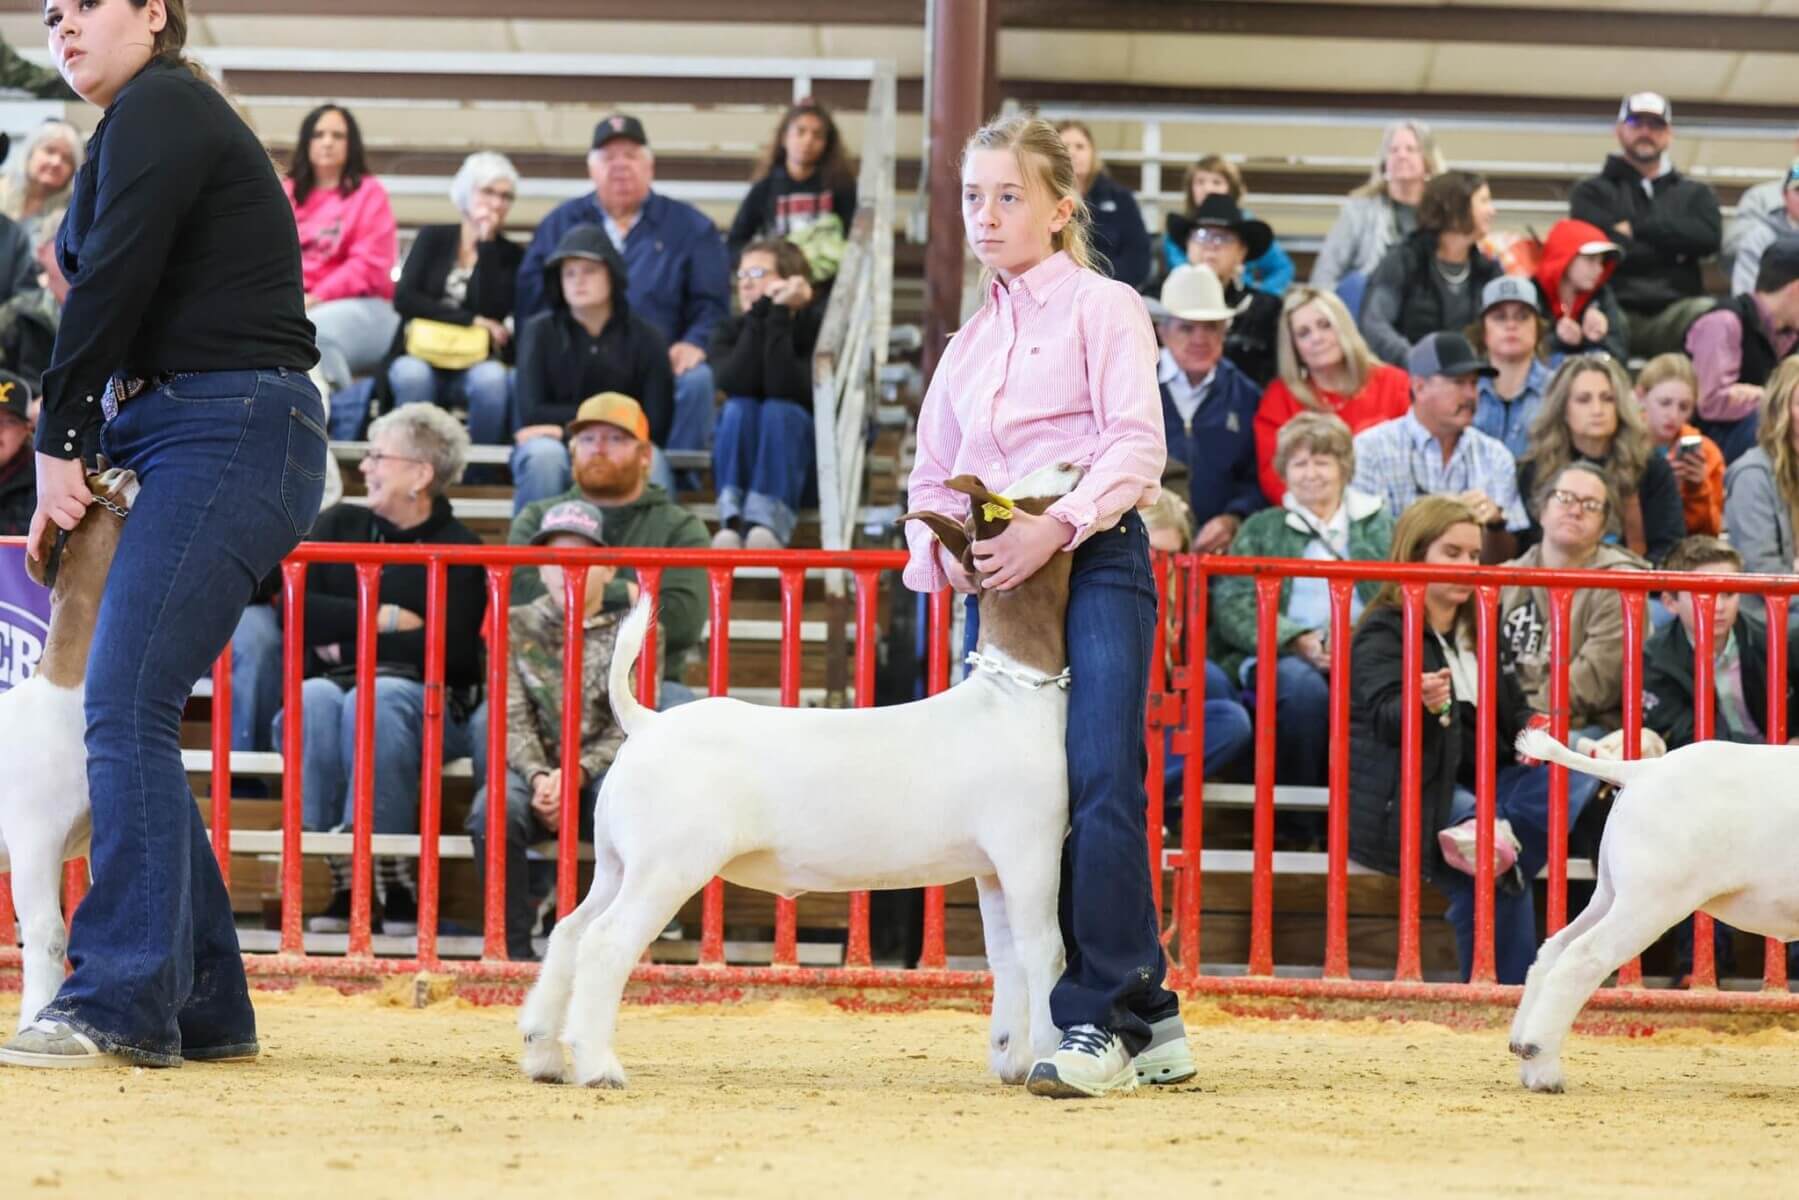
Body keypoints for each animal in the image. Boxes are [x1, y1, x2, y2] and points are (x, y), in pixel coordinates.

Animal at [517, 463, 1084, 1088]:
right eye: (1024, 497)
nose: (1070, 464)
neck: (1013, 697)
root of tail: (645, 722)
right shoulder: (1029, 847)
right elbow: (1045, 950)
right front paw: (1047, 1059)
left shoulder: (990, 867)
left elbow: (1006, 955)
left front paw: (1013, 1058)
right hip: (668, 864)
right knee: (605, 941)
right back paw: (598, 1065)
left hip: (620, 859)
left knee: (570, 930)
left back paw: (543, 1055)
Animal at [1508, 727, 1799, 1092]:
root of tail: (1643, 770)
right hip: (1652, 900)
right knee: (1583, 956)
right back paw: (1545, 1069)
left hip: (1611, 894)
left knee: (1555, 948)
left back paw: (1526, 1058)